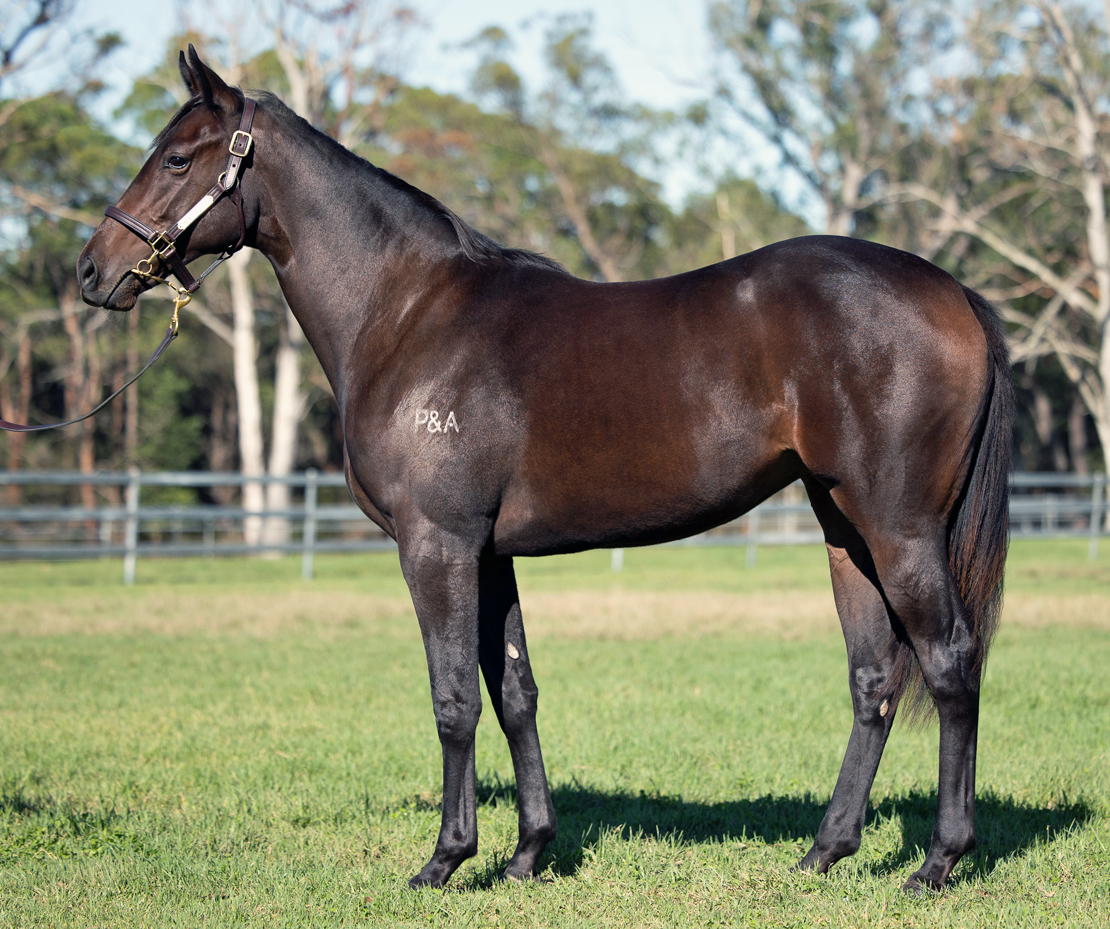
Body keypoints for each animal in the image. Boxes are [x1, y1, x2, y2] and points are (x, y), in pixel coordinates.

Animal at [77, 48, 1013, 894]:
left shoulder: (437, 545)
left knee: (950, 660)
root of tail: (955, 293)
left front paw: (445, 859)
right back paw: (825, 851)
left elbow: (455, 697)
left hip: (898, 529)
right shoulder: (490, 553)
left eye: (175, 157)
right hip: (843, 528)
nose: (93, 271)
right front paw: (528, 853)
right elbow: (515, 689)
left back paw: (938, 860)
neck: (408, 312)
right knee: (874, 677)